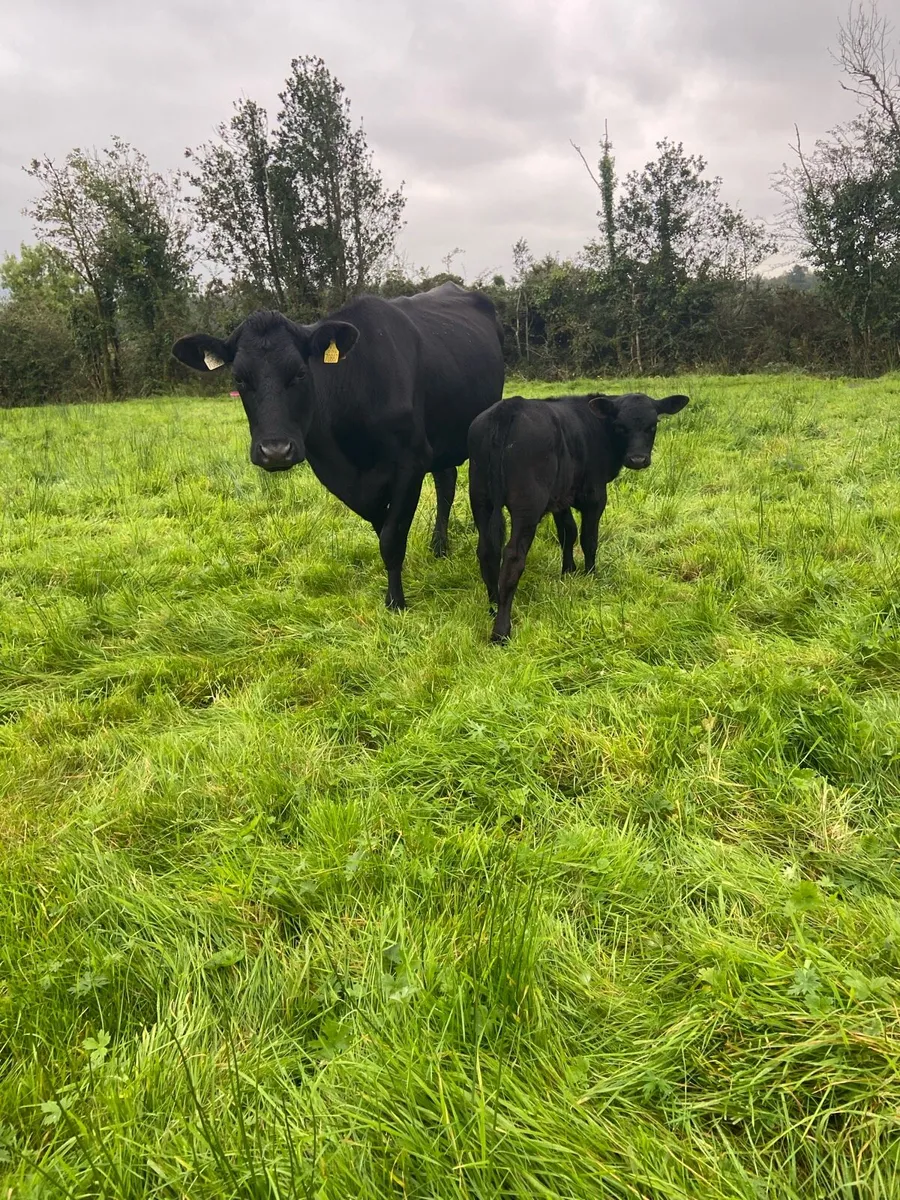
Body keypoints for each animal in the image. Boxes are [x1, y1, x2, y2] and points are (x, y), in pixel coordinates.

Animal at [171, 283, 505, 610]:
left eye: (300, 372)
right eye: (239, 378)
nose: (275, 451)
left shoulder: (411, 462)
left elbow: (391, 537)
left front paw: (395, 603)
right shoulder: (341, 476)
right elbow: (381, 529)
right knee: (445, 480)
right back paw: (439, 546)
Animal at [467, 391, 690, 642]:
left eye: (652, 425)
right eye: (620, 426)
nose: (637, 459)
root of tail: (508, 408)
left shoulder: (560, 498)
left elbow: (568, 532)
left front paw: (568, 571)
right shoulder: (595, 495)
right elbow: (588, 539)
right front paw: (590, 575)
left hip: (480, 499)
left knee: (487, 552)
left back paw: (493, 606)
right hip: (527, 505)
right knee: (513, 557)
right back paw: (501, 630)